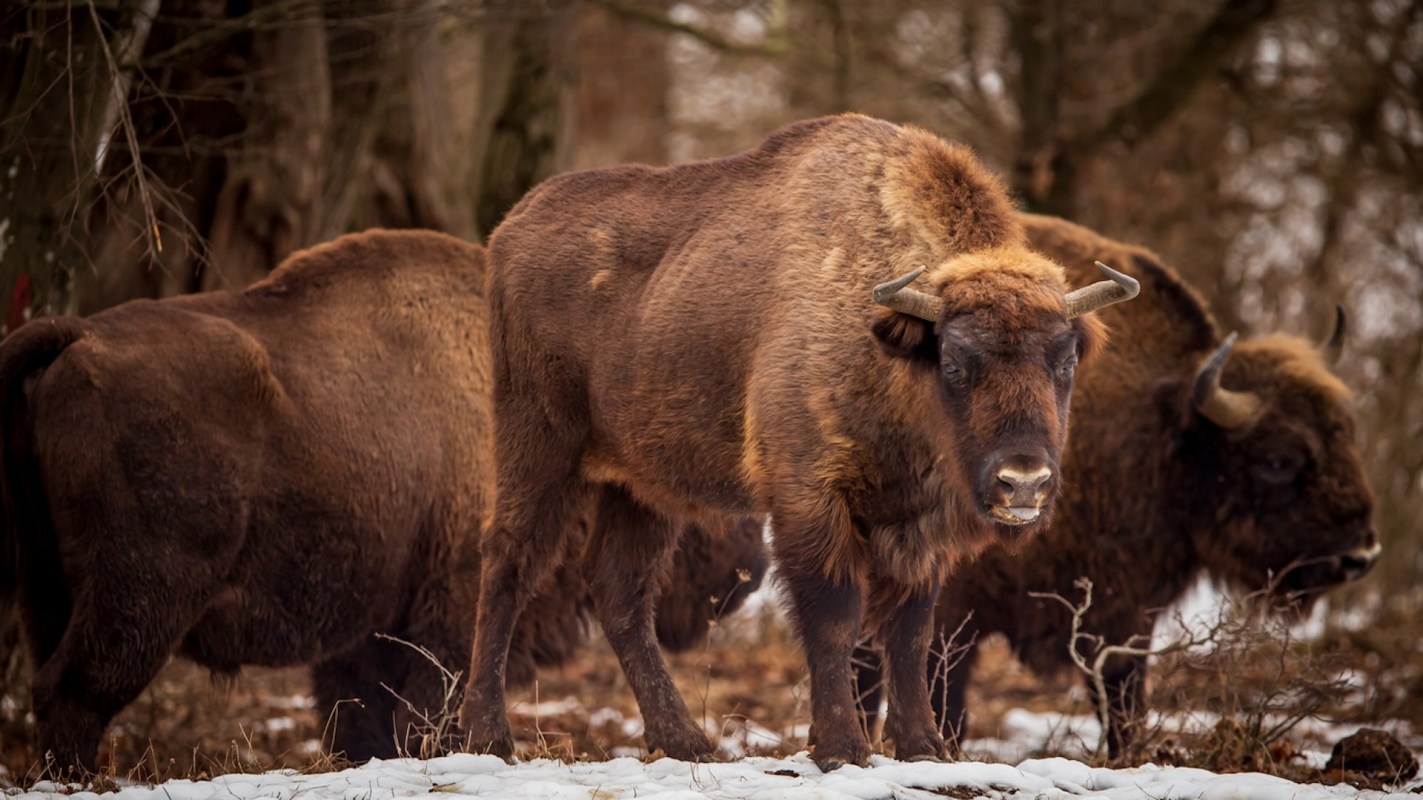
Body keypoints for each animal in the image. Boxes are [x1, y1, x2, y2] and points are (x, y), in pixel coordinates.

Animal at [0, 230, 768, 774]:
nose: (750, 572)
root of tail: (77, 336)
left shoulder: (363, 635)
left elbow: (361, 724)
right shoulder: (442, 619)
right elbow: (426, 706)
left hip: (46, 584)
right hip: (142, 594)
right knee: (74, 688)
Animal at [461, 112, 1138, 768]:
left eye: (1065, 362)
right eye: (954, 362)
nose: (1023, 482)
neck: (888, 347)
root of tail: (509, 229)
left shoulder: (918, 528)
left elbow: (909, 632)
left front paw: (924, 748)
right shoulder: (809, 499)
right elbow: (835, 619)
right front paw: (840, 748)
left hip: (638, 487)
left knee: (619, 593)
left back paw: (685, 742)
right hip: (539, 450)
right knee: (507, 565)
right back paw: (488, 737)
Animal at [853, 213, 1377, 757]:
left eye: (1346, 432)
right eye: (1276, 459)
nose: (1360, 555)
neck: (1164, 425)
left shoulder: (1126, 618)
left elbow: (1124, 707)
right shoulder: (956, 617)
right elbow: (944, 700)